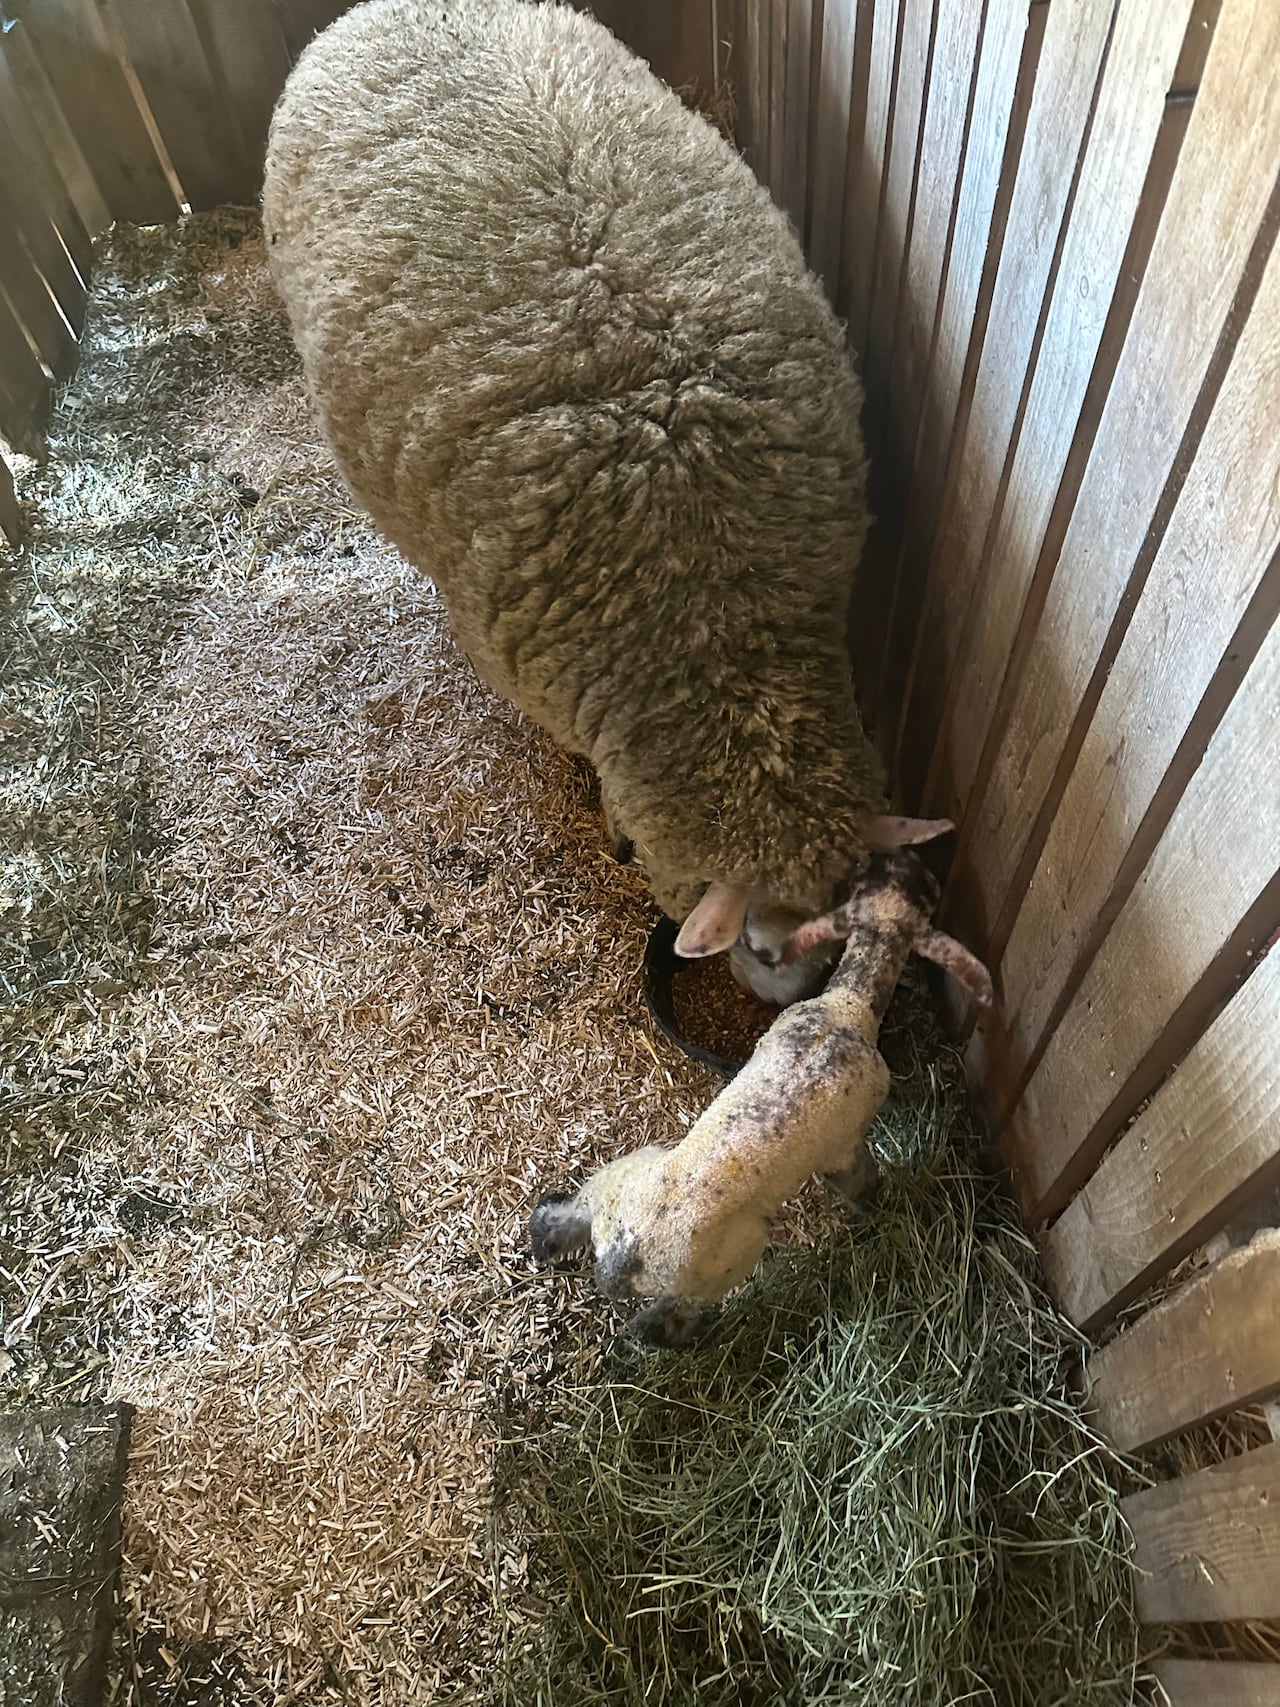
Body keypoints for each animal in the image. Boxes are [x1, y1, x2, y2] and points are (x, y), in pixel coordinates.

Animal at [530, 847, 993, 1345]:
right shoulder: (846, 1144)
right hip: (728, 1259)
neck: (849, 1004)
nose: (903, 853)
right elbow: (861, 1181)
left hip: (629, 1173)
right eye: (928, 889)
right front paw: (876, 1208)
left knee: (577, 1206)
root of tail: (623, 1260)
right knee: (680, 1308)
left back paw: (545, 1235)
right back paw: (663, 1333)